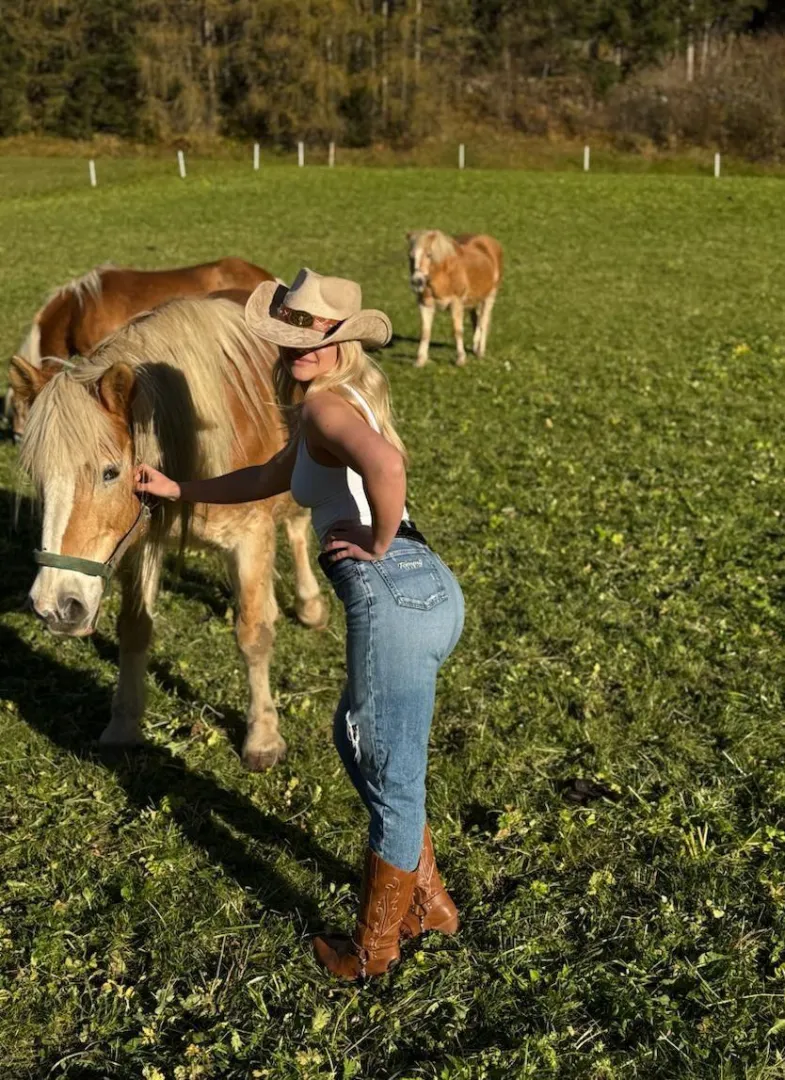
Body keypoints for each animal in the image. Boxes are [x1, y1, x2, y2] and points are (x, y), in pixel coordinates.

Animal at [9, 296, 328, 771]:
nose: (55, 607)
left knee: (297, 529)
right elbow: (134, 628)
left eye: (110, 472)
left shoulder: (251, 537)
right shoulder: (142, 544)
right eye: (37, 475)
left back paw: (310, 604)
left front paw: (263, 737)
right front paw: (123, 725)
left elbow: (253, 633)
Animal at [407, 231, 503, 367]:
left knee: (483, 322)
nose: (417, 282)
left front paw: (461, 359)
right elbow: (425, 332)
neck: (443, 274)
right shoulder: (425, 305)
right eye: (410, 256)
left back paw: (480, 352)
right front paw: (420, 360)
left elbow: (457, 331)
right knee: (476, 320)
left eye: (429, 254)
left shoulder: (456, 304)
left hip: (490, 296)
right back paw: (475, 347)